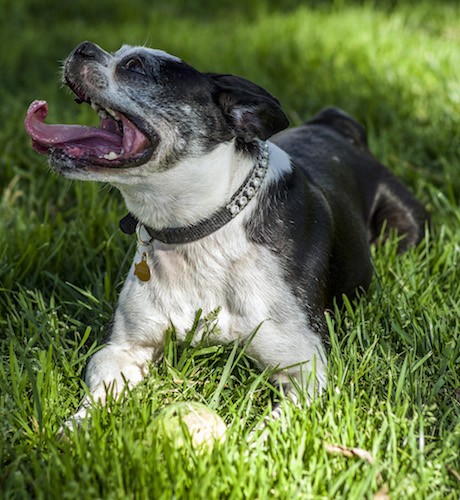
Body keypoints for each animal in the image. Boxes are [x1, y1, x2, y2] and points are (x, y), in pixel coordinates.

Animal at [24, 41, 428, 428]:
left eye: (135, 66)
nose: (82, 47)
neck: (201, 231)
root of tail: (334, 126)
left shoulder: (305, 368)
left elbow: (271, 427)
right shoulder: (122, 349)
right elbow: (96, 399)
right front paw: (74, 431)